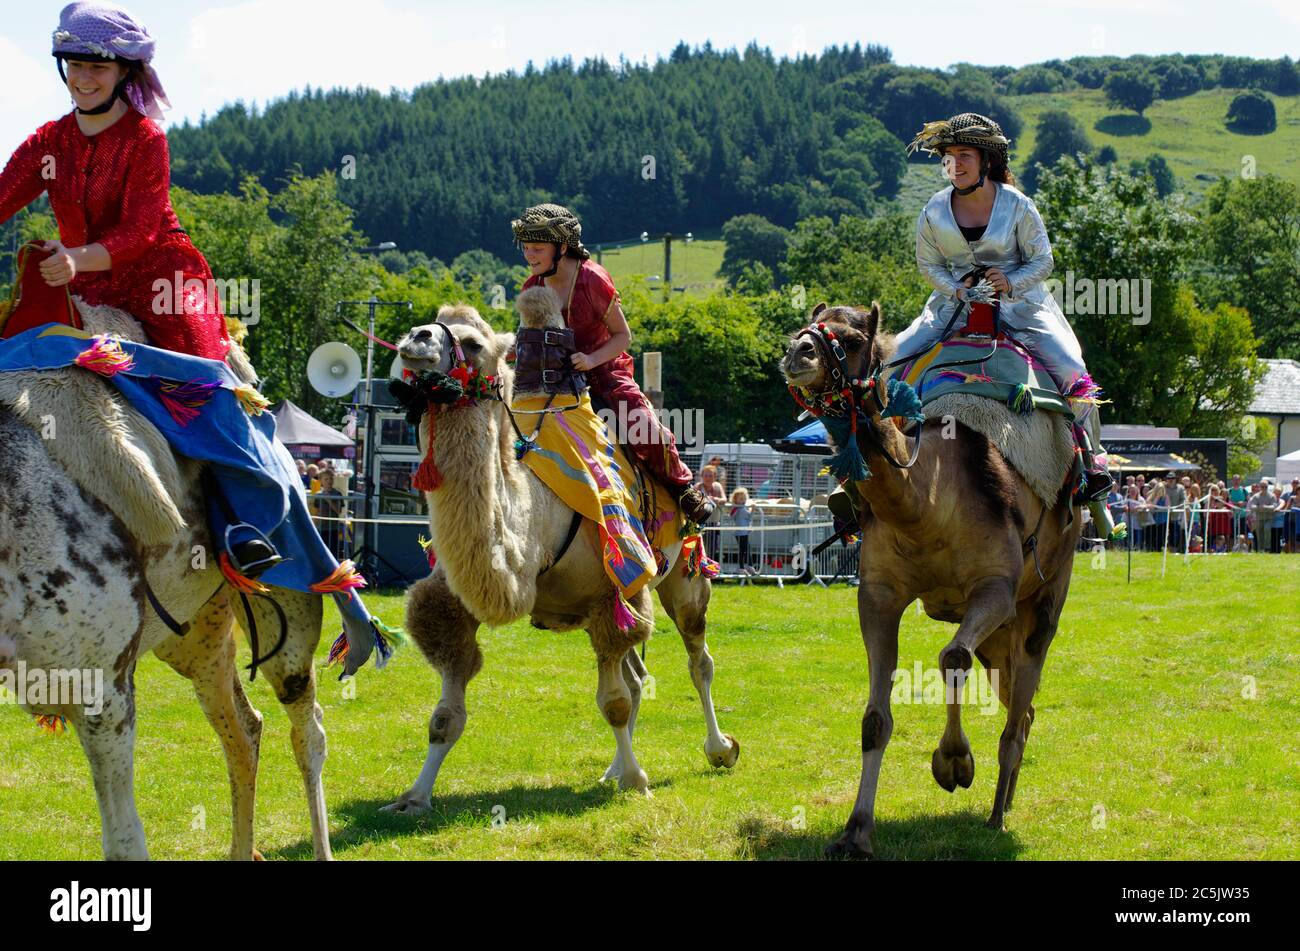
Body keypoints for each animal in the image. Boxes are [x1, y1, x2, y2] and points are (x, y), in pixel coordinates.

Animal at [0, 304, 361, 862]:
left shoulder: (101, 687)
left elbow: (124, 839)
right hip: (195, 636)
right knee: (243, 728)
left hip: (289, 610)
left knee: (307, 728)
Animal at [379, 289, 738, 810]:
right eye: (429, 322)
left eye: (473, 342)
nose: (416, 337)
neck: (533, 522)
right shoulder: (456, 604)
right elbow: (445, 716)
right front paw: (414, 796)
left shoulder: (612, 592)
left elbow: (613, 702)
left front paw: (638, 779)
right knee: (637, 677)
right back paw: (612, 769)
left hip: (682, 577)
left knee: (698, 660)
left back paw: (718, 749)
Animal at [774, 301, 1081, 857]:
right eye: (802, 328)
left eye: (853, 339)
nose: (798, 352)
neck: (930, 502)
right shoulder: (879, 595)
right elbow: (875, 719)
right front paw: (855, 831)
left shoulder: (996, 589)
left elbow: (952, 657)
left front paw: (954, 763)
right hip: (1001, 638)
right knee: (1019, 706)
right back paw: (1005, 799)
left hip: (1046, 595)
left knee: (1019, 705)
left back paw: (997, 816)